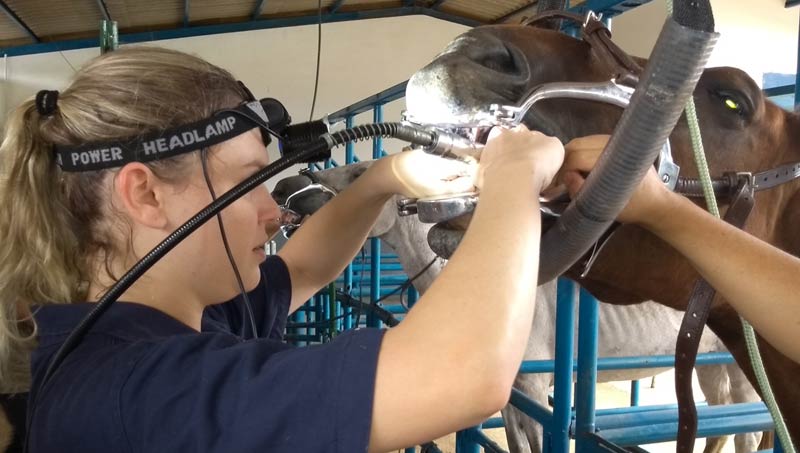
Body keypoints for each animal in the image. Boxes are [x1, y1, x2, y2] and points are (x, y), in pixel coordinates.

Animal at [272, 163, 760, 452]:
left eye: (356, 173)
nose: (285, 187)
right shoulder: (513, 392)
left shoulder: (539, 387)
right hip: (711, 362)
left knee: (748, 430)